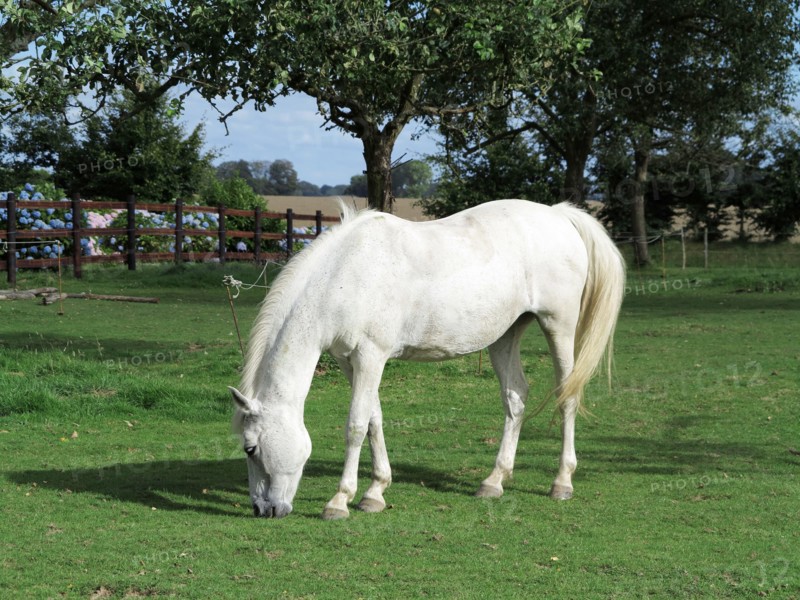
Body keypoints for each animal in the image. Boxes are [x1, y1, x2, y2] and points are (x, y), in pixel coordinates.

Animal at [229, 199, 625, 520]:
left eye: (251, 448)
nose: (262, 509)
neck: (345, 274)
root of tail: (558, 215)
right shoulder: (349, 361)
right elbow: (374, 419)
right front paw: (375, 492)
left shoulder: (371, 356)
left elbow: (356, 426)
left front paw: (340, 501)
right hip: (505, 335)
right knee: (515, 398)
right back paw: (494, 481)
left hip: (559, 326)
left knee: (567, 396)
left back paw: (562, 482)